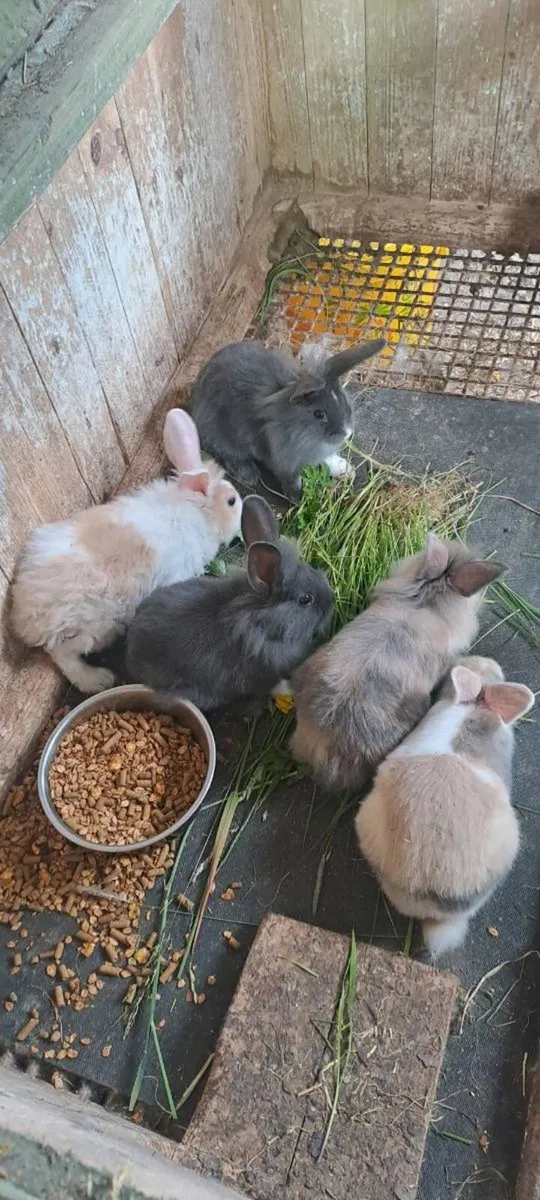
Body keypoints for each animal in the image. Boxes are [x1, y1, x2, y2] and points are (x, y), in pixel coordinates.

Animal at [10, 410, 241, 695]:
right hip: (95, 628)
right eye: (231, 501)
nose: (241, 515)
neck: (197, 512)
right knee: (61, 654)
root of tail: (23, 614)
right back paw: (98, 680)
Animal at [189, 336, 386, 499]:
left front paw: (346, 470)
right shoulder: (282, 460)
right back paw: (248, 475)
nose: (347, 432)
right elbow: (291, 479)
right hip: (218, 434)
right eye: (319, 414)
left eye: (343, 399)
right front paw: (298, 498)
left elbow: (328, 459)